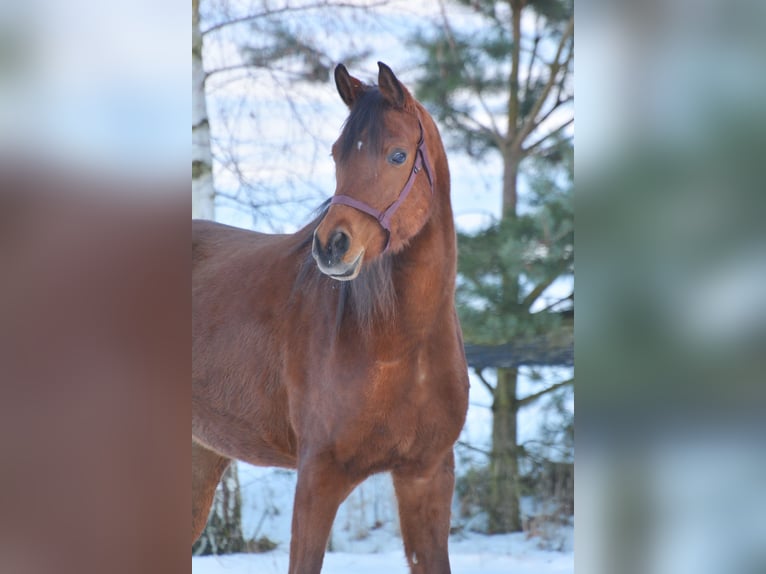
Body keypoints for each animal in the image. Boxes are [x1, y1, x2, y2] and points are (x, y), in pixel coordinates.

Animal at [192, 62, 469, 574]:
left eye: (398, 155)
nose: (331, 246)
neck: (398, 343)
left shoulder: (427, 476)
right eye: (337, 153)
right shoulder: (318, 479)